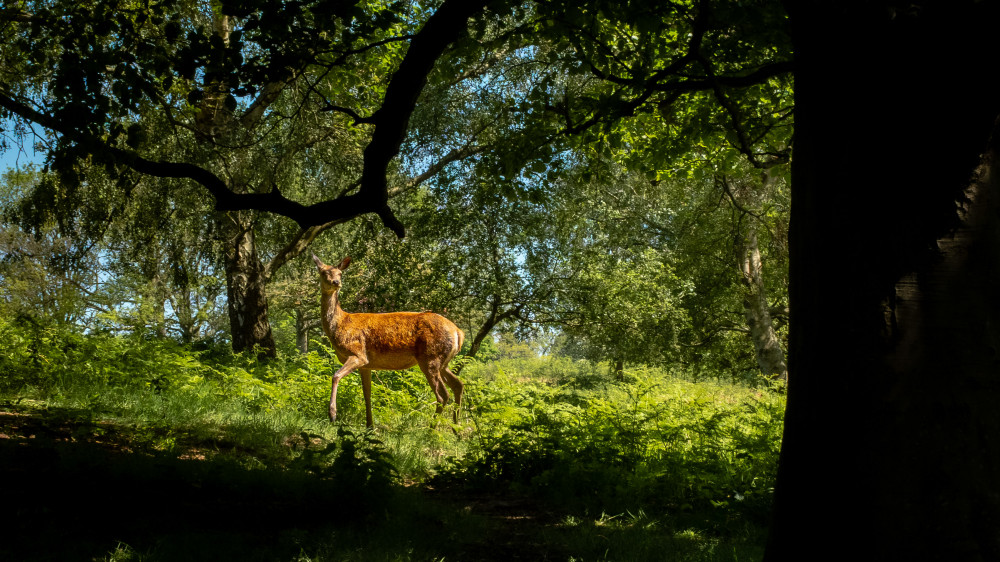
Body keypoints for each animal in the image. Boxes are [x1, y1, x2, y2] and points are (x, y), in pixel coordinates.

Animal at [312, 255, 464, 428]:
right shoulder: (366, 364)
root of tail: (458, 332)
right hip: (442, 362)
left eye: (340, 273)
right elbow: (367, 394)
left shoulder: (358, 354)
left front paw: (332, 414)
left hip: (430, 357)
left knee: (443, 395)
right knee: (458, 385)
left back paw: (432, 429)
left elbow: (335, 376)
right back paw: (456, 428)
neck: (341, 324)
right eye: (323, 272)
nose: (336, 282)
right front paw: (370, 426)